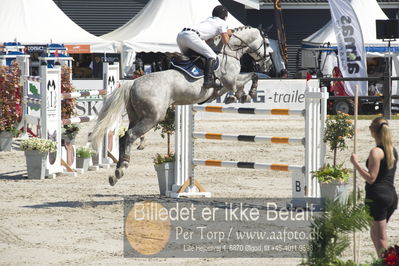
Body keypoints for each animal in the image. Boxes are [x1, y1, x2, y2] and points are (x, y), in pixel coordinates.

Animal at [91, 26, 276, 185]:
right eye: (267, 44)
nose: (268, 66)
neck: (230, 52)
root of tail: (133, 83)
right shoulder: (230, 80)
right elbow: (252, 75)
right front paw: (250, 93)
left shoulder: (226, 85)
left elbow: (239, 86)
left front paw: (240, 96)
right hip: (152, 117)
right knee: (129, 135)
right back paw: (121, 169)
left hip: (136, 116)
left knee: (123, 137)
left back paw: (116, 172)